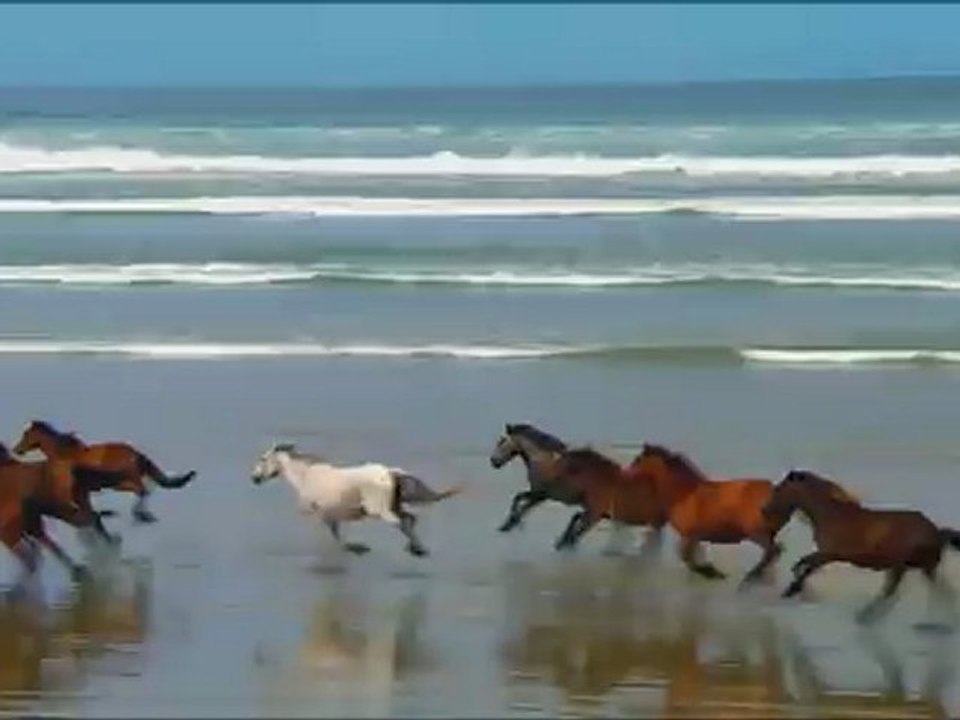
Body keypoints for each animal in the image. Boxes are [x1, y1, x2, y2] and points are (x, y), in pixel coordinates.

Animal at [13, 420, 196, 524]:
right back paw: (142, 515)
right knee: (142, 491)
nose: (17, 449)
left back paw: (142, 516)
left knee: (142, 490)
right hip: (121, 483)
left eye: (26, 434)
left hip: (124, 480)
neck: (62, 453)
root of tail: (135, 453)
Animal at [251, 443, 461, 558]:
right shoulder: (331, 514)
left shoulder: (324, 512)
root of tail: (390, 473)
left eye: (262, 458)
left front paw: (357, 548)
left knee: (400, 522)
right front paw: (357, 548)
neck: (305, 476)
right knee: (411, 518)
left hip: (378, 510)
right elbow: (335, 532)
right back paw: (417, 549)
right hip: (393, 506)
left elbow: (335, 533)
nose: (254, 478)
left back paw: (416, 549)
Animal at [626, 443, 787, 584]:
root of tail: (774, 490)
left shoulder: (689, 536)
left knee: (773, 551)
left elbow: (687, 559)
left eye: (637, 460)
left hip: (756, 533)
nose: (626, 472)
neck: (684, 494)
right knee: (775, 552)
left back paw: (750, 578)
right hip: (765, 534)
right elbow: (689, 559)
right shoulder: (694, 538)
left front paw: (713, 573)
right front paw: (712, 572)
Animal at [763, 469, 960, 624]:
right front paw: (793, 588)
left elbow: (807, 567)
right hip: (921, 568)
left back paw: (866, 617)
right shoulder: (826, 554)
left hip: (901, 566)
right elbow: (803, 564)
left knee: (893, 592)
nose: (765, 510)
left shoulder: (829, 554)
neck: (831, 514)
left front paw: (791, 590)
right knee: (942, 591)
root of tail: (935, 531)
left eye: (779, 489)